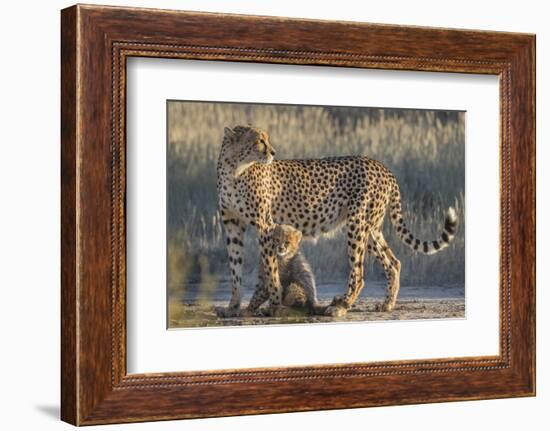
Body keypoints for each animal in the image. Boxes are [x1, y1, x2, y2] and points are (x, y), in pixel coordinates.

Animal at [218, 125, 460, 318]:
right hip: (370, 228)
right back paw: (387, 304)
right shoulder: (232, 224)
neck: (234, 169)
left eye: (266, 139)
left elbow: (270, 269)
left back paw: (341, 305)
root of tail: (381, 165)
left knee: (359, 272)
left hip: (356, 225)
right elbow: (235, 268)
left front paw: (274, 304)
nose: (273, 152)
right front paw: (233, 307)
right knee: (393, 262)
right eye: (259, 140)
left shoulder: (265, 225)